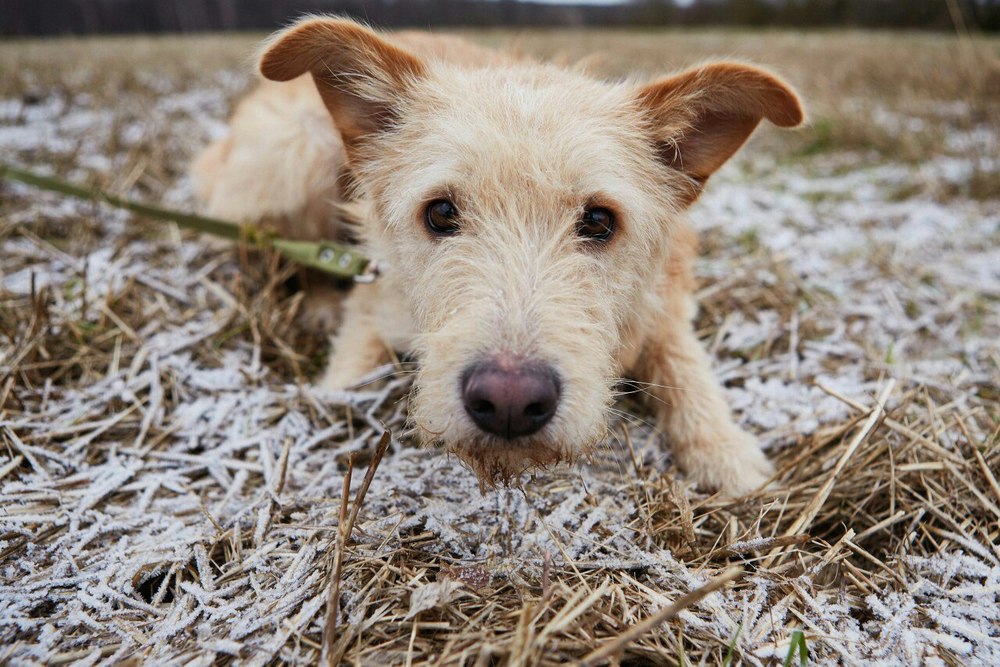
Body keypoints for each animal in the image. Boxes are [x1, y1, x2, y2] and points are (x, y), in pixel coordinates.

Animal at [193, 15, 804, 496]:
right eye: (441, 213)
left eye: (599, 221)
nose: (510, 401)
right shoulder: (377, 299)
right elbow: (352, 358)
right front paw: (334, 396)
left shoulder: (663, 307)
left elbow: (685, 366)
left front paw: (727, 454)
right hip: (294, 153)